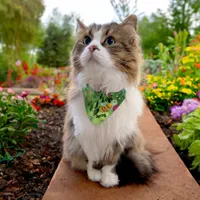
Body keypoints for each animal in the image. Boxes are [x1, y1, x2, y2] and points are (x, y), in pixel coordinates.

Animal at [61, 14, 155, 188]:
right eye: (86, 40)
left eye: (110, 41)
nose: (92, 47)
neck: (102, 94)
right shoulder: (84, 133)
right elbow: (91, 159)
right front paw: (93, 174)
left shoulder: (118, 135)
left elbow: (110, 162)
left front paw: (108, 178)